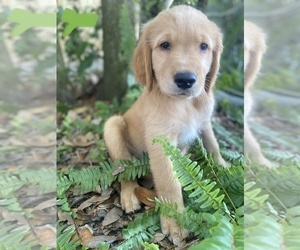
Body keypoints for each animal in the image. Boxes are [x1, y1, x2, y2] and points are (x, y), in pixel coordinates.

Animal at [104, 5, 226, 244]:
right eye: (165, 45)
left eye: (203, 46)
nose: (185, 79)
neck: (185, 104)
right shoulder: (160, 141)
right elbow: (170, 183)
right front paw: (176, 222)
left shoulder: (204, 121)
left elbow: (213, 146)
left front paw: (225, 167)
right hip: (112, 127)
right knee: (124, 171)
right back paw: (129, 195)